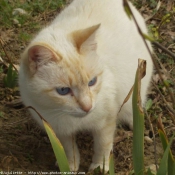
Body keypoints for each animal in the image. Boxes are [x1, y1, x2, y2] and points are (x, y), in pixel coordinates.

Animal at [19, 0, 153, 172]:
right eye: (63, 91)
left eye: (92, 82)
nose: (87, 107)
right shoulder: (58, 129)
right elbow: (68, 149)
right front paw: (69, 167)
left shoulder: (106, 122)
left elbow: (103, 146)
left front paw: (99, 167)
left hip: (135, 85)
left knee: (135, 105)